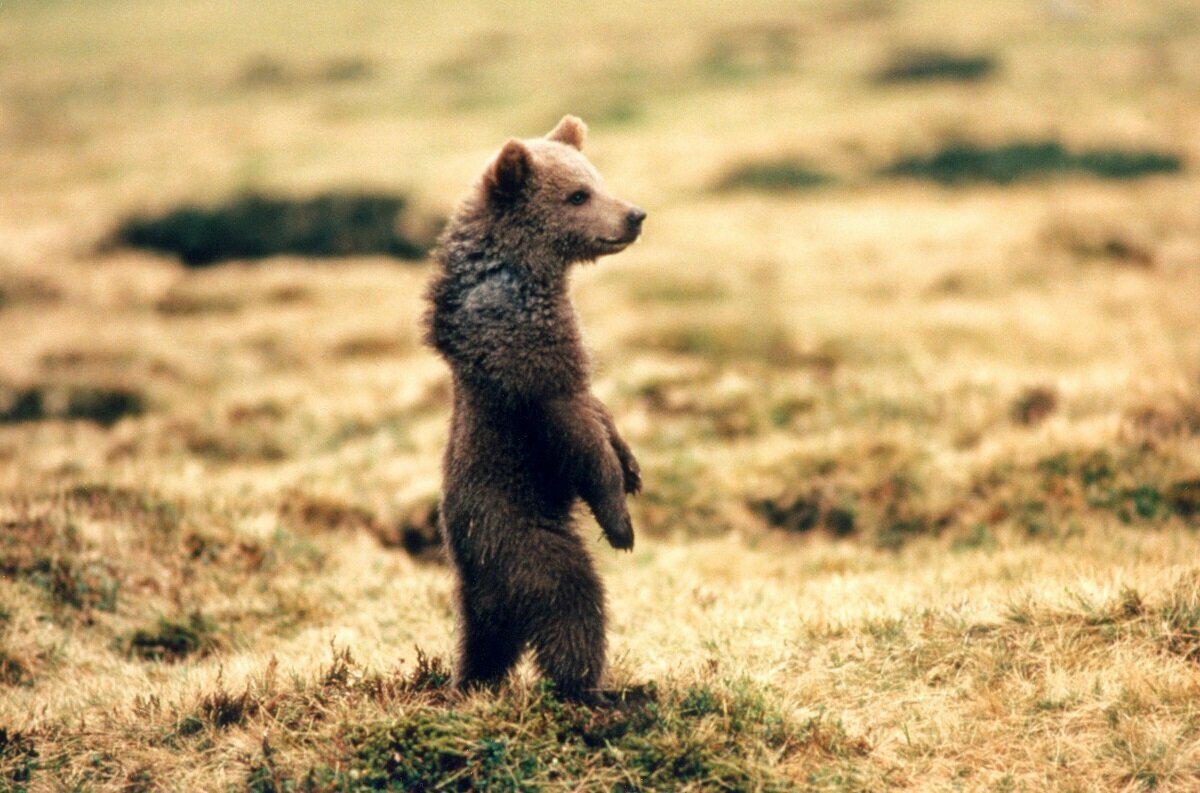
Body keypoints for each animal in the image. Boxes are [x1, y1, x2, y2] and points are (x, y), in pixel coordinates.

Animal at [422, 115, 645, 702]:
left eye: (597, 177)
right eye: (577, 194)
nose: (635, 215)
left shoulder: (567, 355)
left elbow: (597, 408)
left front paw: (633, 467)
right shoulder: (532, 365)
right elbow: (580, 436)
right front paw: (621, 522)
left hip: (482, 594)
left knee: (483, 643)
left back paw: (469, 684)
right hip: (520, 540)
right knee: (573, 601)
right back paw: (592, 690)